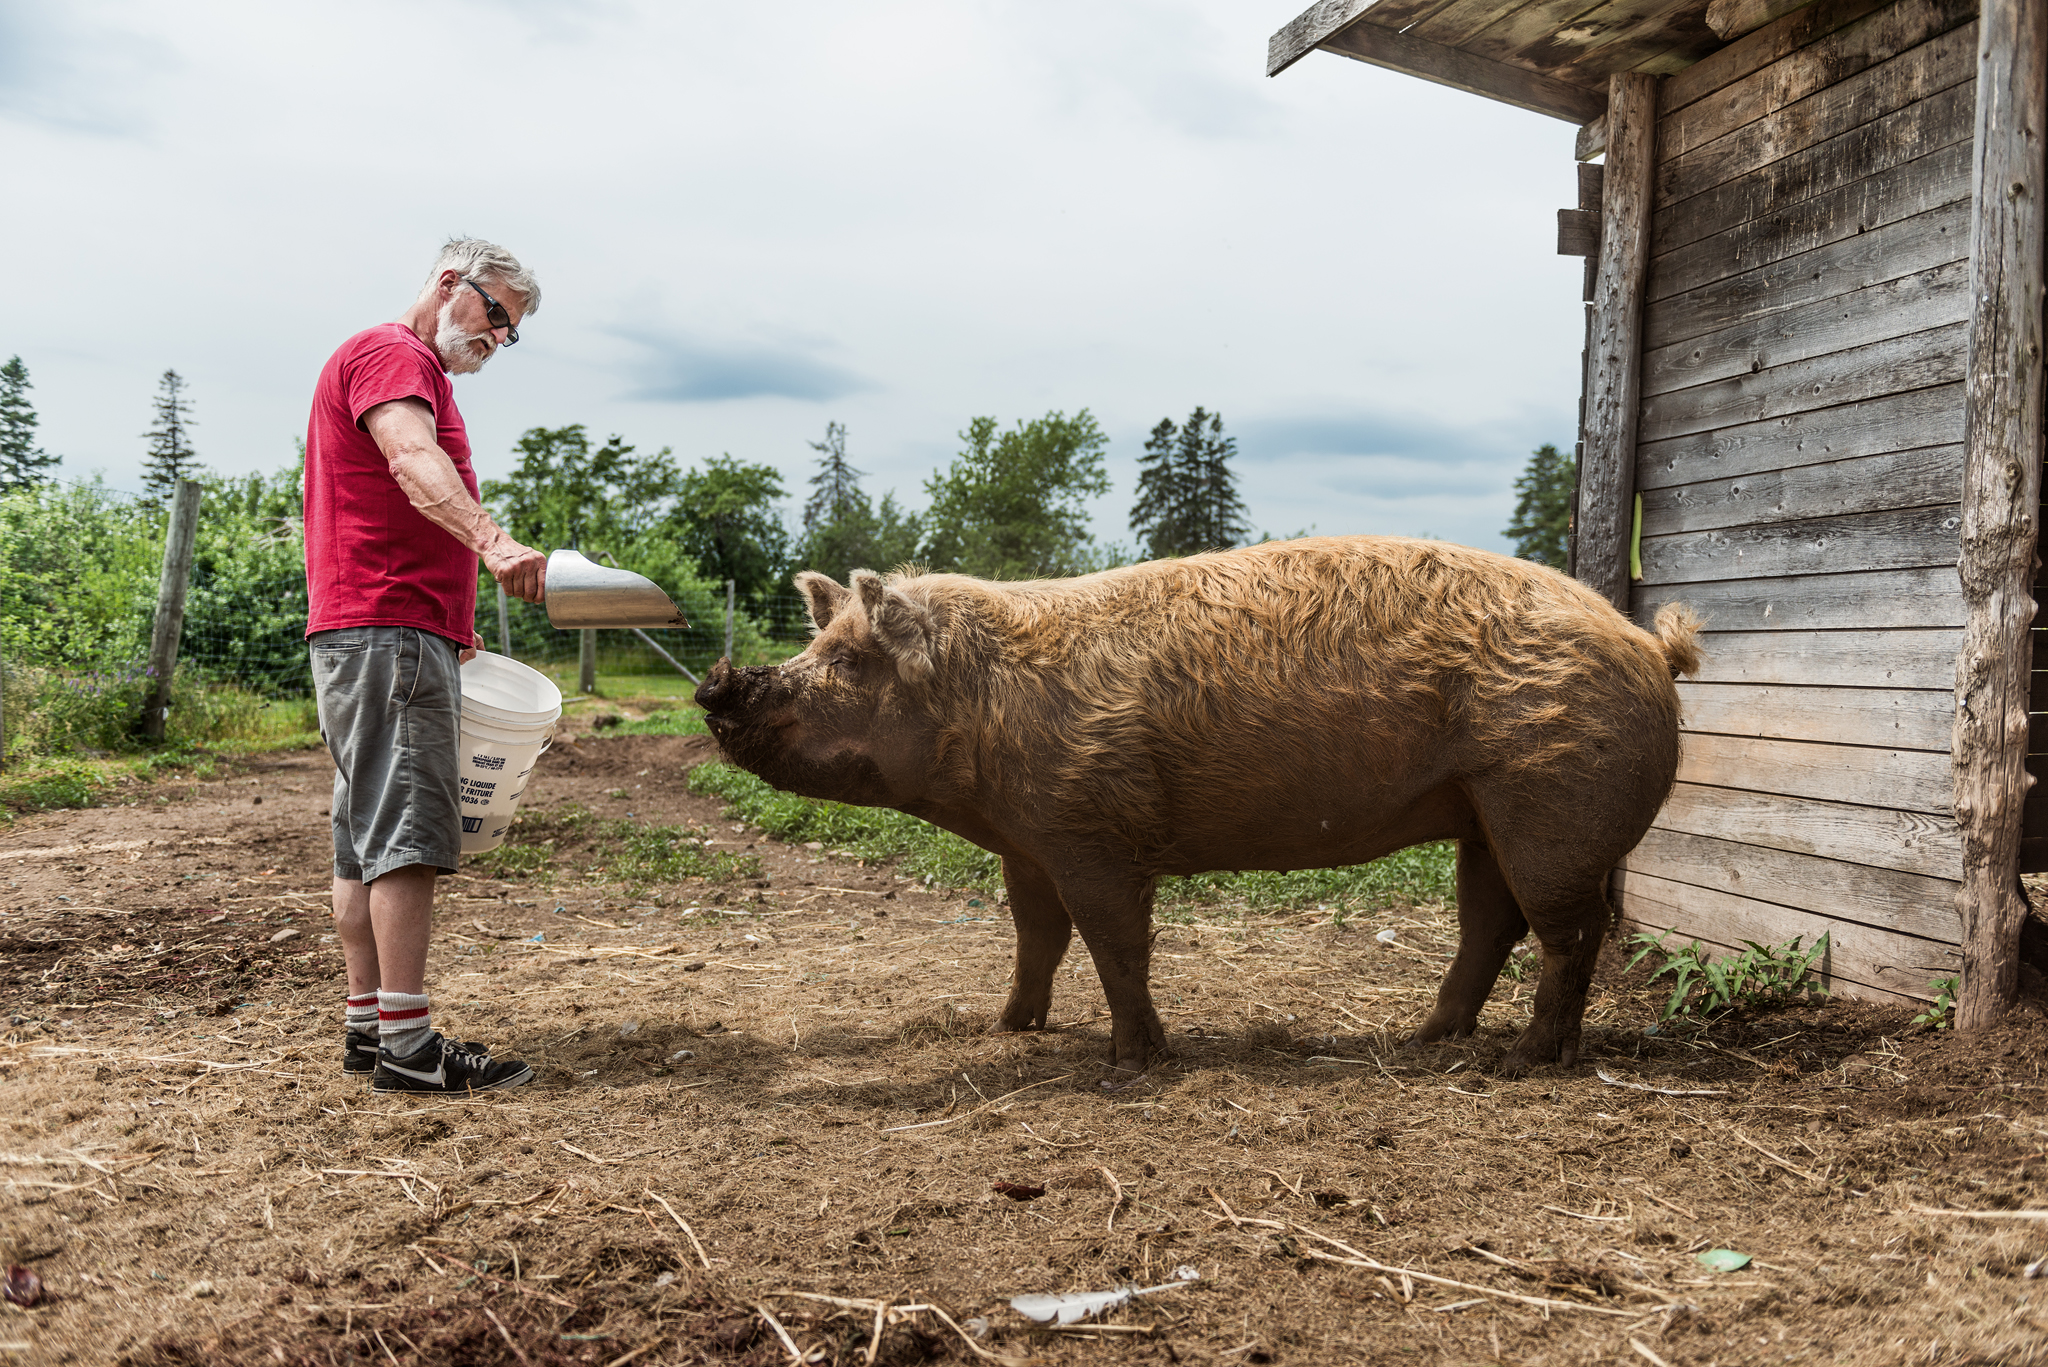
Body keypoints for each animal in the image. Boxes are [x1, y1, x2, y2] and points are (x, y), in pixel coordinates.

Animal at [696, 532, 1703, 1082]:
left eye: (848, 661)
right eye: (815, 647)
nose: (715, 682)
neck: (981, 714)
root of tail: (1648, 646)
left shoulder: (1094, 832)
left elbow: (1115, 944)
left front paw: (1130, 1061)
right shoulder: (1028, 843)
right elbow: (1035, 936)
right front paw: (1009, 1025)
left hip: (1550, 806)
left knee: (1570, 932)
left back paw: (1525, 1058)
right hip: (1481, 810)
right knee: (1491, 923)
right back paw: (1425, 1036)